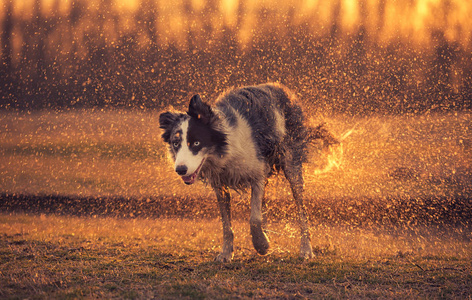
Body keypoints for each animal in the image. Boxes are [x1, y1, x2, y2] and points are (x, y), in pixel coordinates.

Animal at [160, 83, 338, 262]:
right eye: (175, 143)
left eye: (196, 143)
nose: (180, 170)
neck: (225, 153)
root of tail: (282, 88)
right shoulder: (219, 183)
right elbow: (226, 223)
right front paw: (226, 253)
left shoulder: (258, 172)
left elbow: (254, 218)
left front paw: (262, 245)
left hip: (292, 161)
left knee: (301, 209)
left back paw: (306, 249)